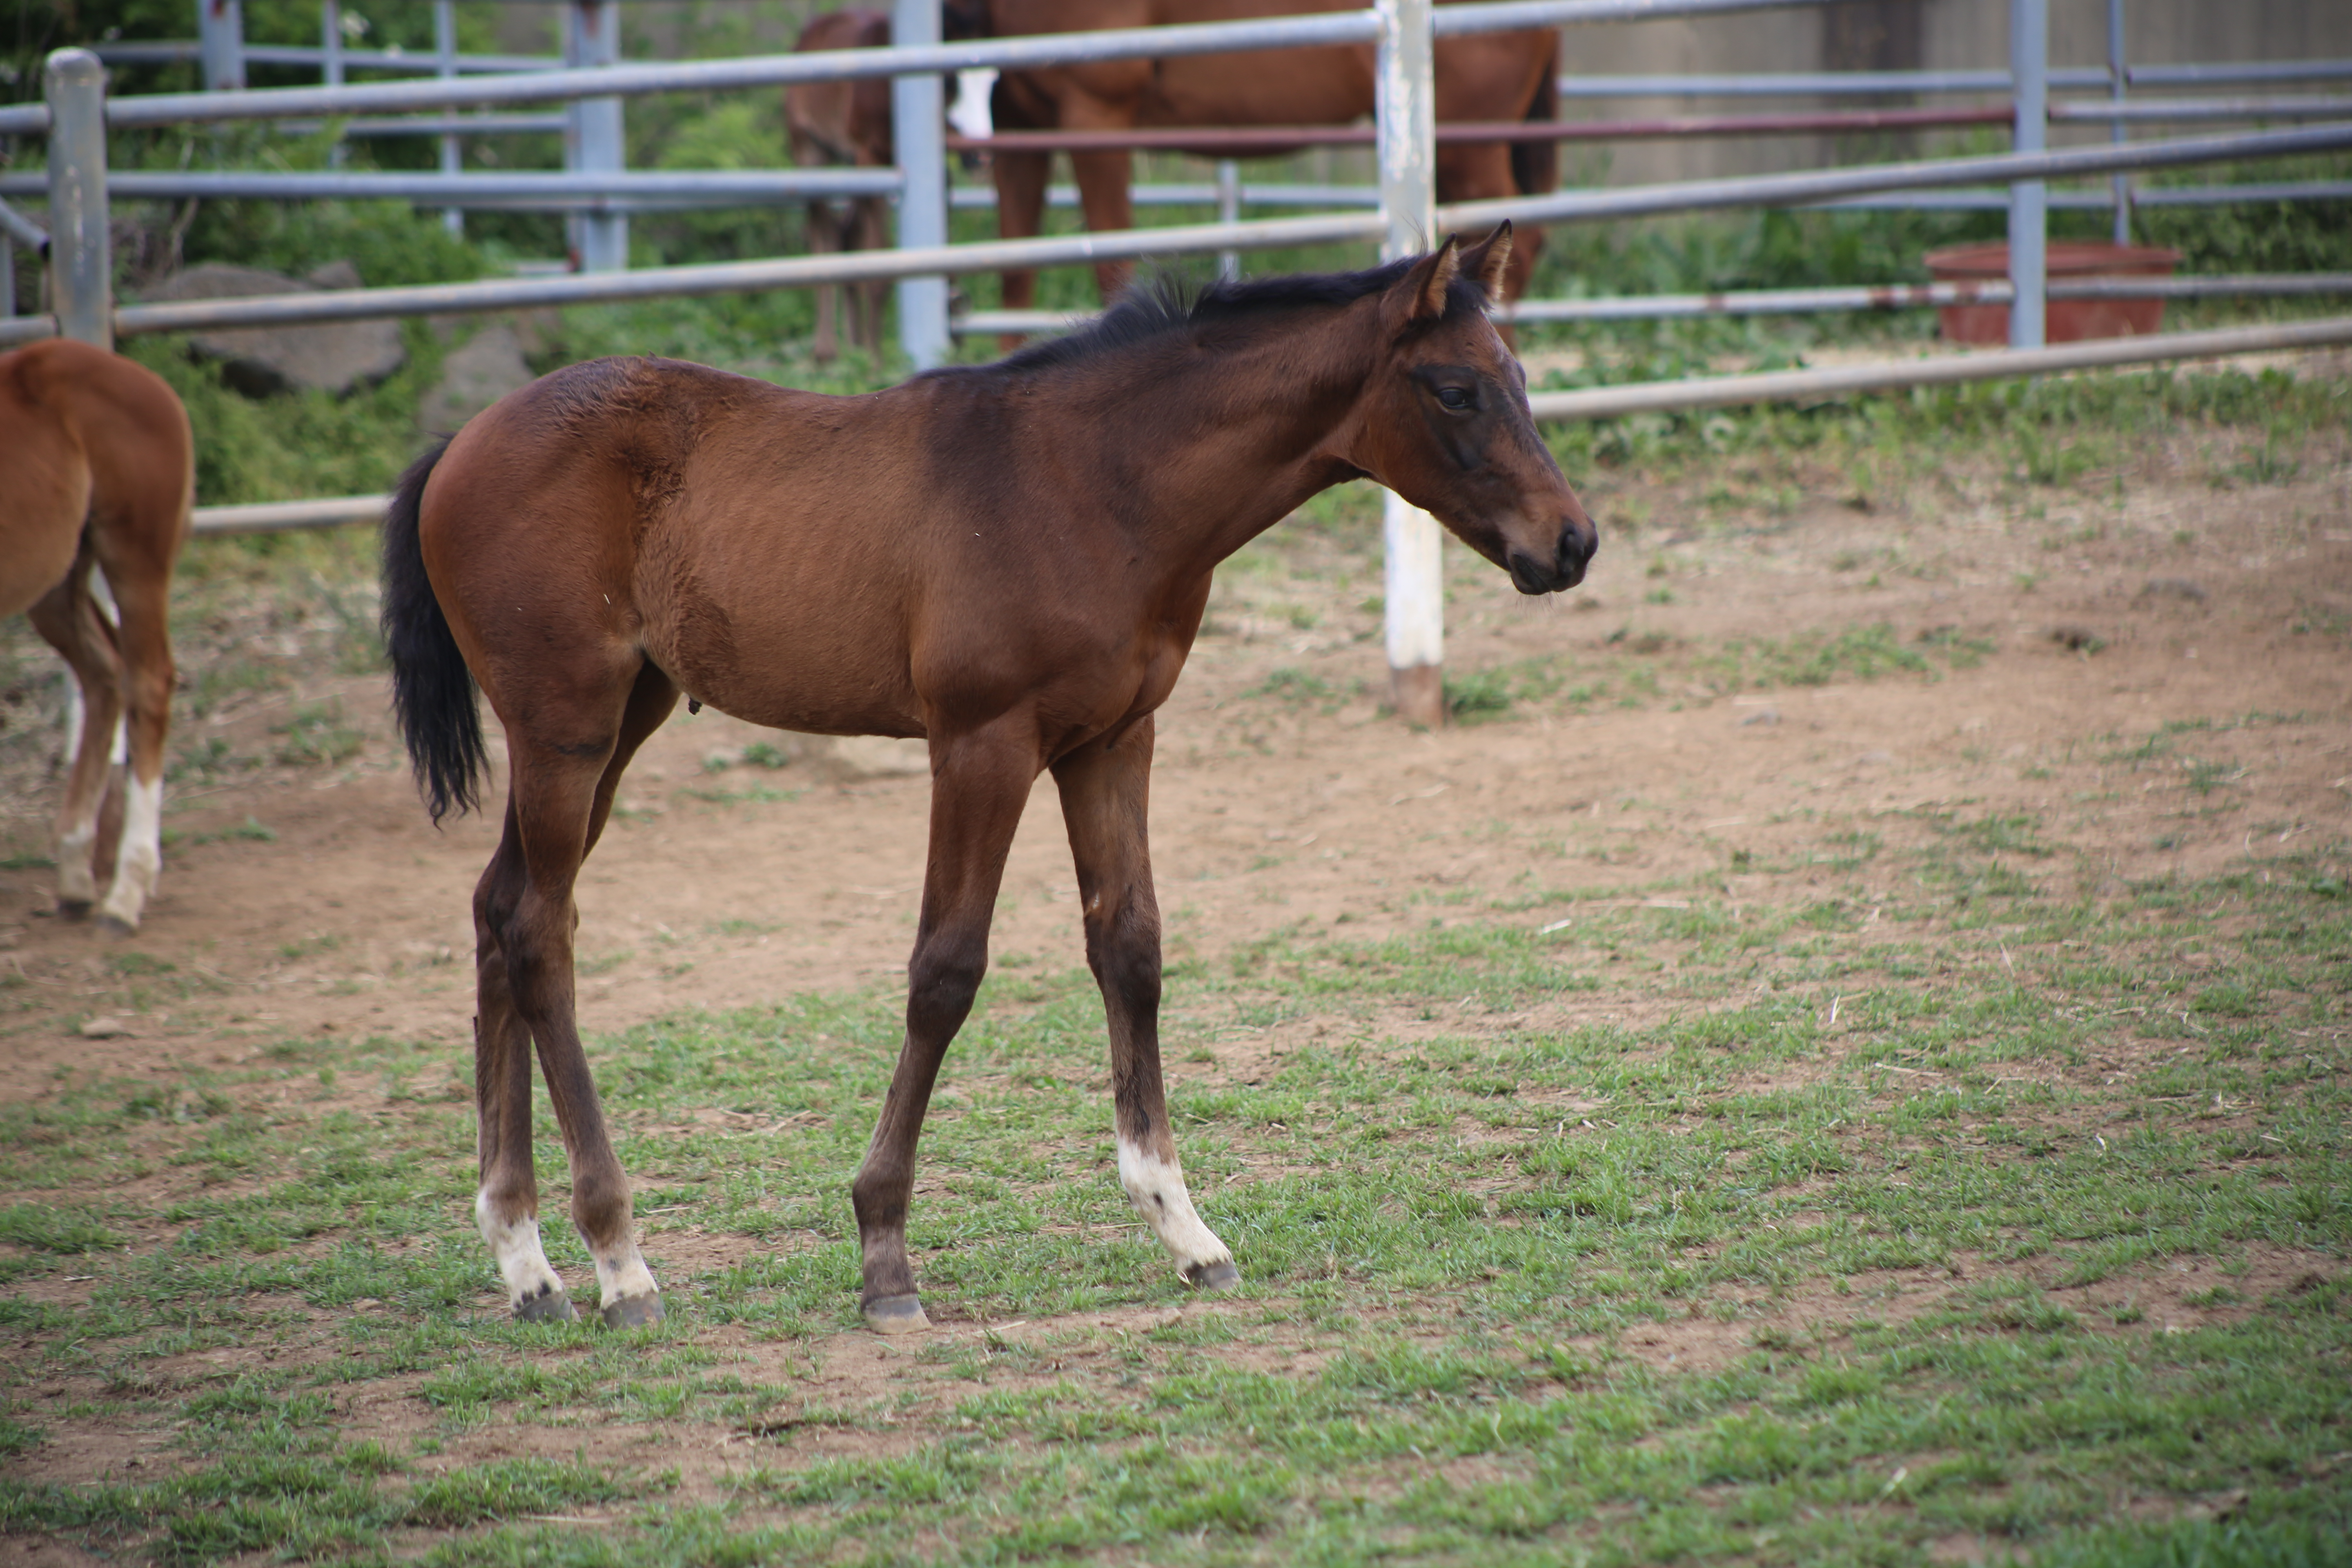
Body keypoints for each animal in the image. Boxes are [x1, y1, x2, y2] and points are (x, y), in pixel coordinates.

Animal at [0, 339, 190, 940]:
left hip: (133, 557)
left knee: (147, 681)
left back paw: (125, 892)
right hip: (58, 580)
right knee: (105, 673)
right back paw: (76, 871)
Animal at [385, 230, 1599, 1335]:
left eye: (1519, 376)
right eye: (1456, 390)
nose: (1572, 543)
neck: (1095, 484)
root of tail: (459, 442)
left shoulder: (1114, 739)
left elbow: (1130, 950)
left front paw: (1186, 1230)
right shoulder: (981, 742)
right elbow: (946, 970)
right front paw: (883, 1252)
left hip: (618, 721)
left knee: (500, 910)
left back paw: (525, 1259)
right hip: (567, 728)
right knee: (540, 930)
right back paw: (618, 1261)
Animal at [795, 10, 893, 359]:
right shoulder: (872, 157)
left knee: (844, 234)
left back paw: (854, 345)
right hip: (810, 151)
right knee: (821, 232)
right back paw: (827, 348)